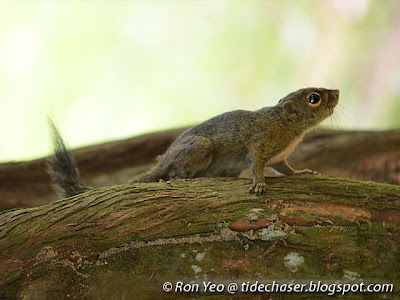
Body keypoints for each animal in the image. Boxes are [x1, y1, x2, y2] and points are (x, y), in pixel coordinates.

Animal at [48, 86, 340, 198]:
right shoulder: (260, 143)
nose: (337, 91)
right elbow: (256, 163)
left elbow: (286, 169)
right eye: (314, 98)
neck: (287, 126)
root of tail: (164, 158)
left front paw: (302, 172)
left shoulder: (280, 157)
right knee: (173, 173)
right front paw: (259, 183)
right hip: (201, 148)